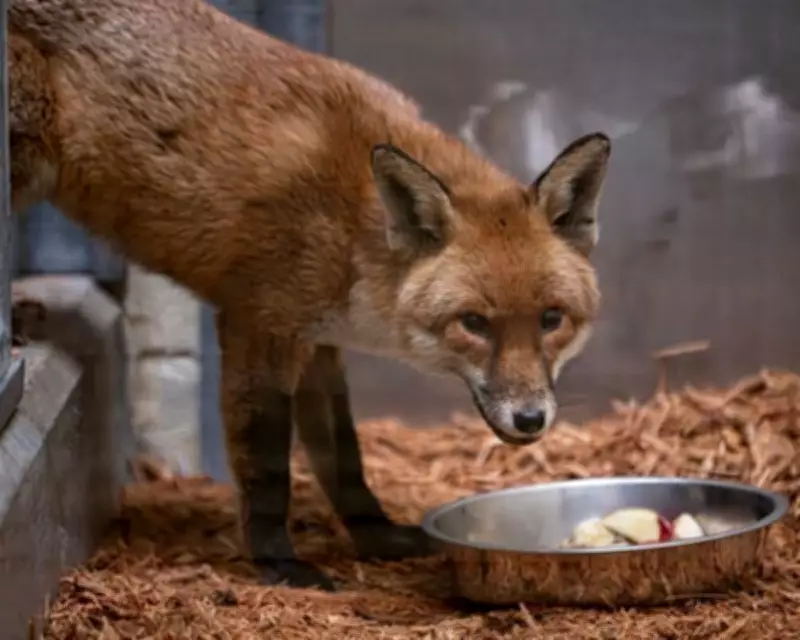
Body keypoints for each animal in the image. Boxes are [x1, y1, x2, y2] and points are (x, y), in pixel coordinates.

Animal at [8, 0, 611, 590]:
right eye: (474, 323)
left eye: (551, 319)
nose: (531, 419)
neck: (352, 228)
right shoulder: (258, 325)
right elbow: (268, 464)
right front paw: (279, 563)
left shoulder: (320, 341)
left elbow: (344, 458)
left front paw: (378, 538)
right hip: (25, 157)